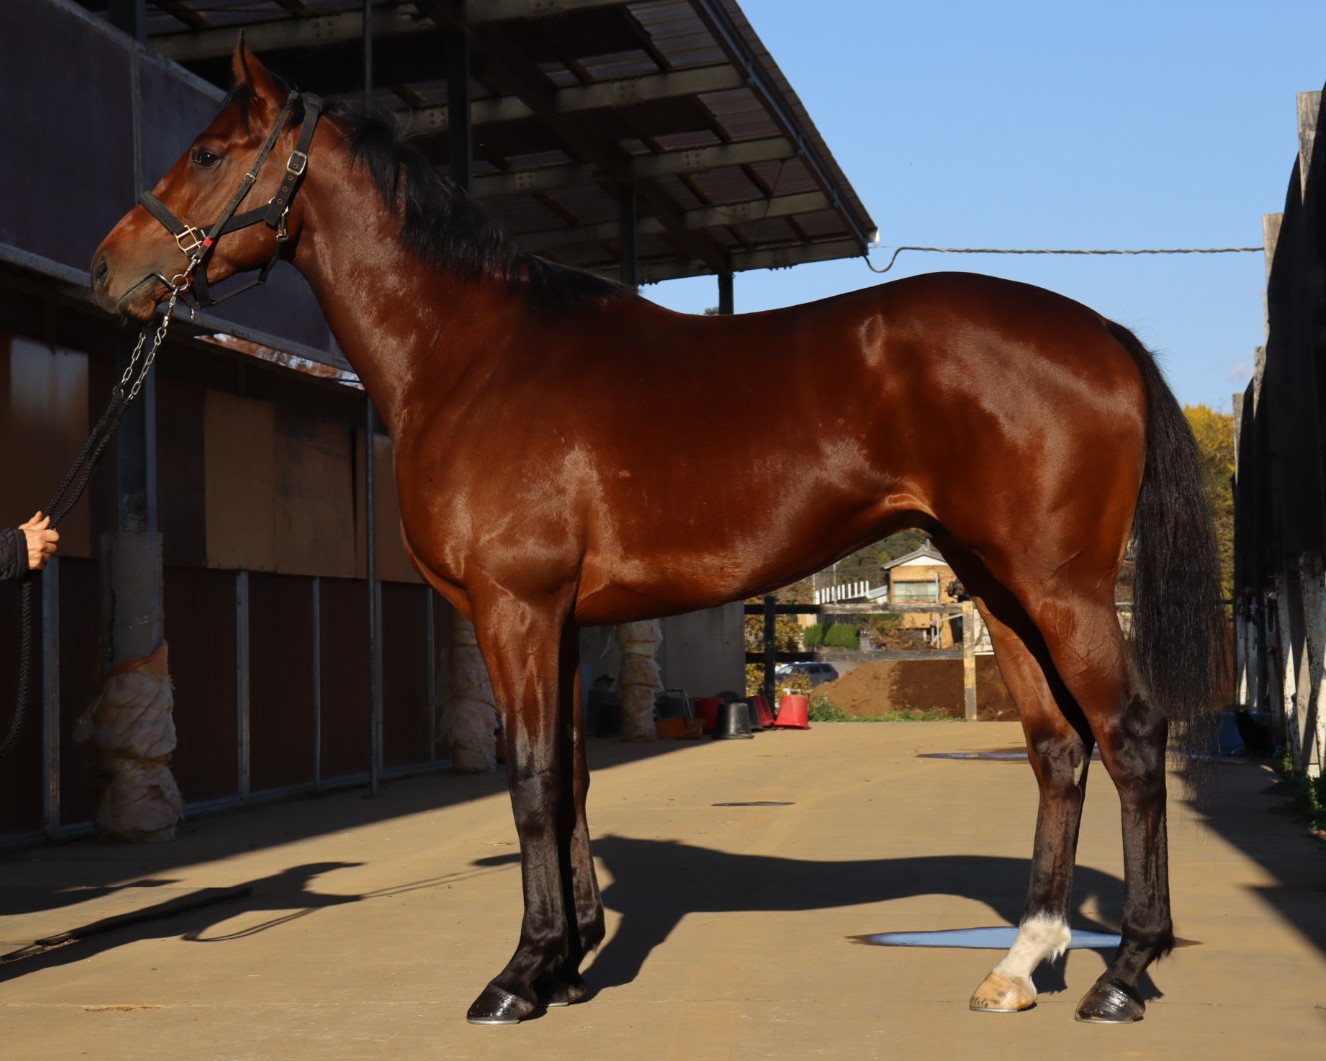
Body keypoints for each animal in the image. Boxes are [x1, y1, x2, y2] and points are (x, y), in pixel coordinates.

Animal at [90, 41, 1223, 1026]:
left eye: (208, 153)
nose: (111, 269)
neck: (475, 355)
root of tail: (1104, 335)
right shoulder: (562, 620)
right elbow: (571, 777)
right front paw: (569, 958)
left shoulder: (515, 608)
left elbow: (529, 777)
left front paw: (519, 975)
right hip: (996, 586)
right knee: (1056, 749)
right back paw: (1020, 963)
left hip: (1059, 586)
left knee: (1130, 736)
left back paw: (1123, 973)